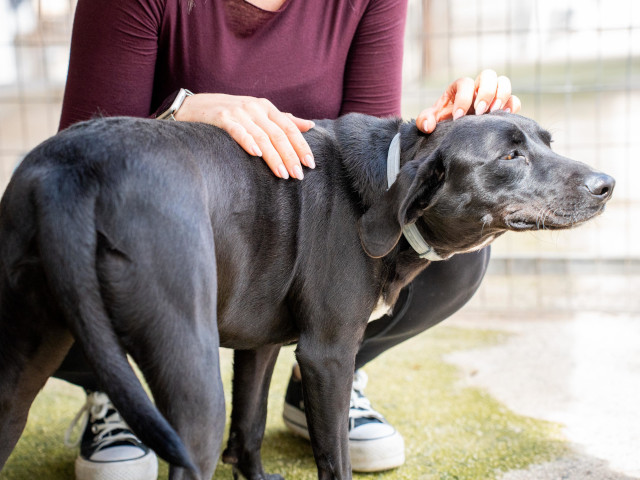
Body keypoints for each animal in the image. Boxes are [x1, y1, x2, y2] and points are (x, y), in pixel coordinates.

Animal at [0, 112, 614, 479]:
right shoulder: (328, 354)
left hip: (22, 370)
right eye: (510, 157)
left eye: (548, 142)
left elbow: (250, 425)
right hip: (192, 385)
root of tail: (73, 174)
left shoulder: (260, 345)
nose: (606, 184)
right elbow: (332, 456)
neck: (383, 181)